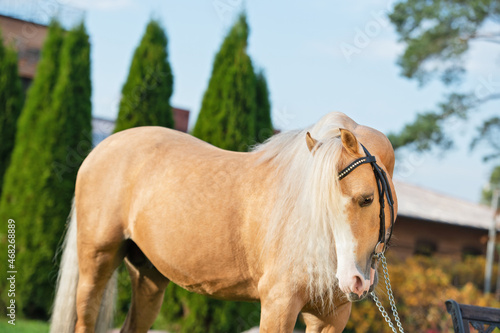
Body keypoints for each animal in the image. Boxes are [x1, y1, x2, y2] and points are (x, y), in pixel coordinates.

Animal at [50, 111, 398, 332]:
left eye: (366, 199)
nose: (353, 280)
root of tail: (102, 148)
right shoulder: (278, 305)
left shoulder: (331, 318)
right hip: (97, 262)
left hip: (148, 277)